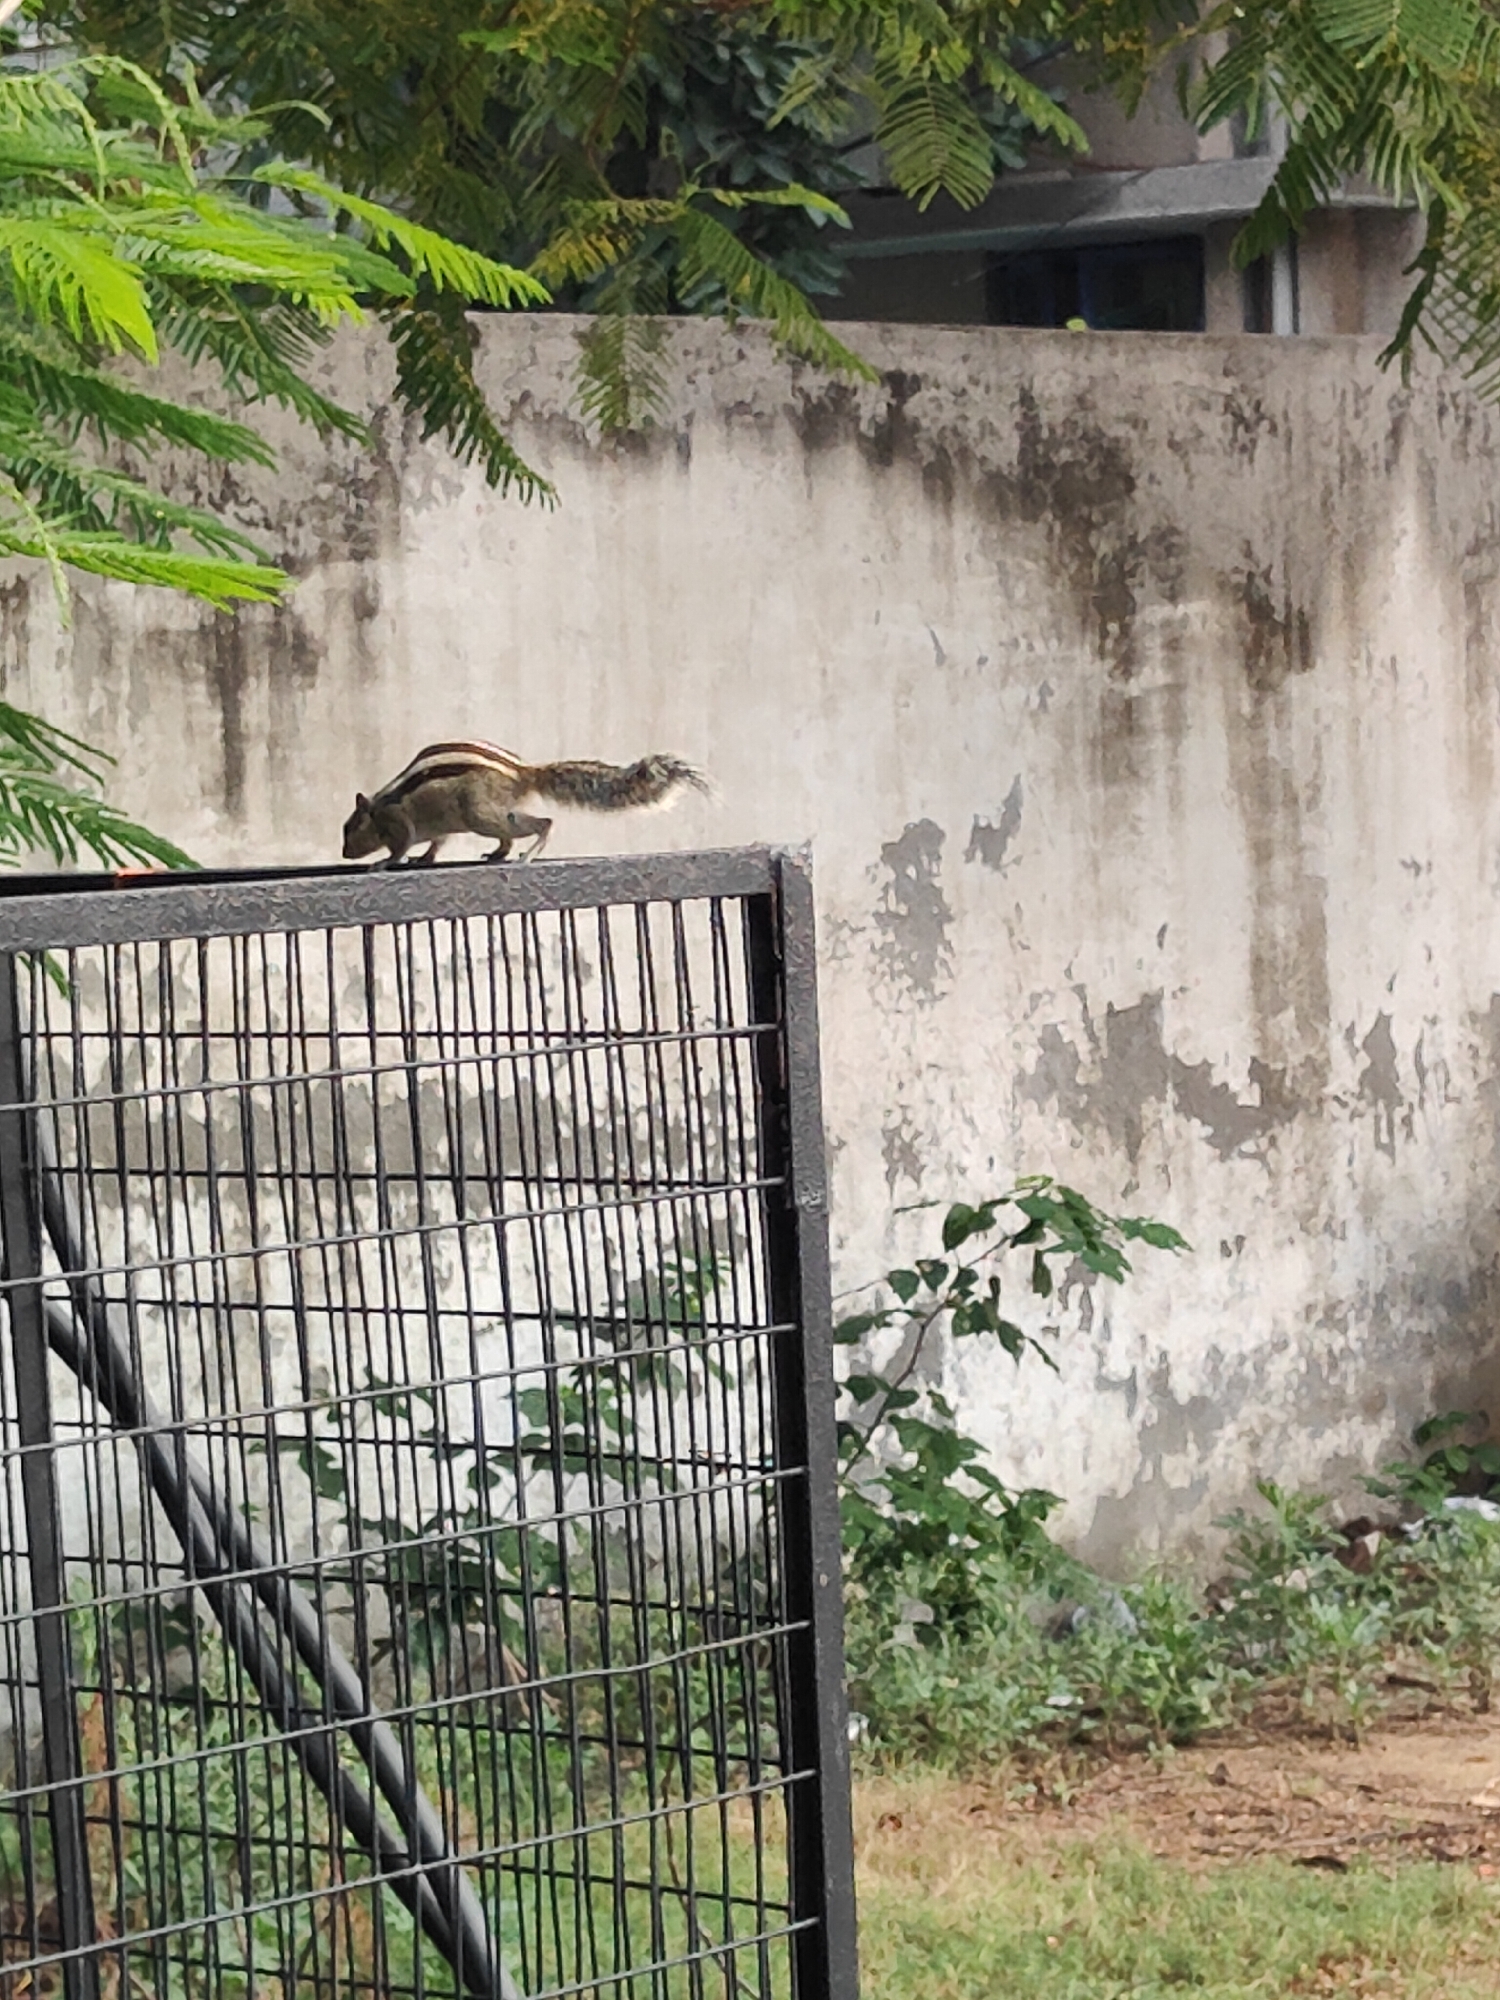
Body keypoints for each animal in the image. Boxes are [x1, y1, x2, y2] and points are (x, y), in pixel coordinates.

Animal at [341, 740, 710, 867]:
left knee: (541, 824)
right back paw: (498, 853)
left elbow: (400, 846)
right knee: (507, 837)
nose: (344, 853)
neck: (378, 808)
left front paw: (384, 863)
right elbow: (435, 843)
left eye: (350, 828)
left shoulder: (399, 822)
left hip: (481, 814)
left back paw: (529, 852)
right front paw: (423, 858)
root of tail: (523, 773)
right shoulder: (435, 829)